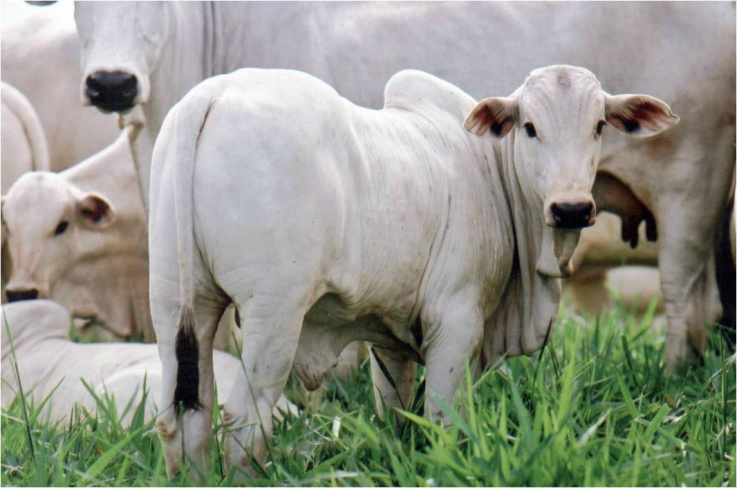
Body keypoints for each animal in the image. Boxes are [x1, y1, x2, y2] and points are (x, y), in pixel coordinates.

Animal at [147, 66, 678, 478]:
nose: (571, 208)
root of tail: (210, 95)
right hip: (273, 316)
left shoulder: (388, 334)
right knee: (243, 423)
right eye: (530, 127)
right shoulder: (457, 321)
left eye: (599, 126)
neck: (492, 172)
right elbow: (442, 420)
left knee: (184, 416)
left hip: (178, 306)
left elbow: (397, 413)